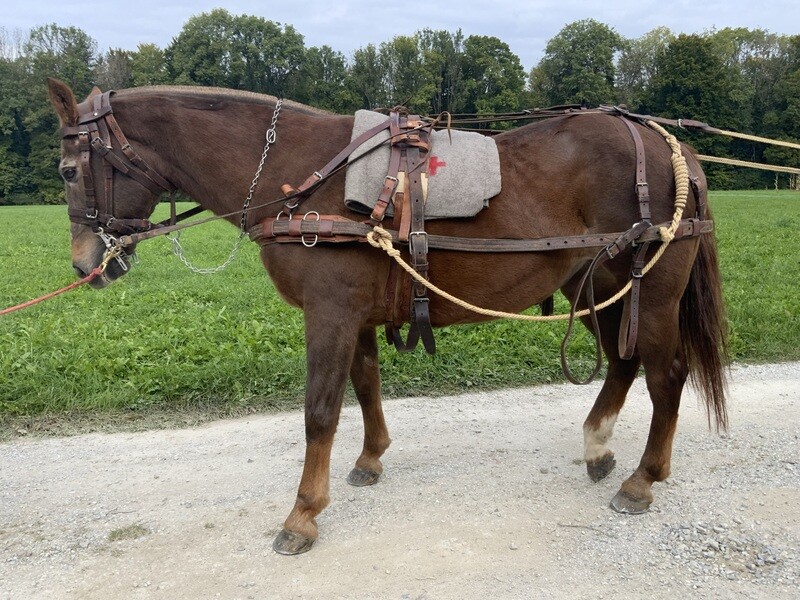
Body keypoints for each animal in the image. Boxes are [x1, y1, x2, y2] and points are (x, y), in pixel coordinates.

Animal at [47, 77, 728, 556]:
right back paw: (597, 446)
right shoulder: (356, 315)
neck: (299, 175)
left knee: (666, 375)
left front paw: (302, 515)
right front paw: (369, 459)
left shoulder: (329, 312)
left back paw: (642, 479)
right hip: (598, 290)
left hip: (652, 294)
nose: (86, 263)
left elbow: (320, 411)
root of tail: (668, 145)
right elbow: (366, 384)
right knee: (623, 363)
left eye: (68, 169)